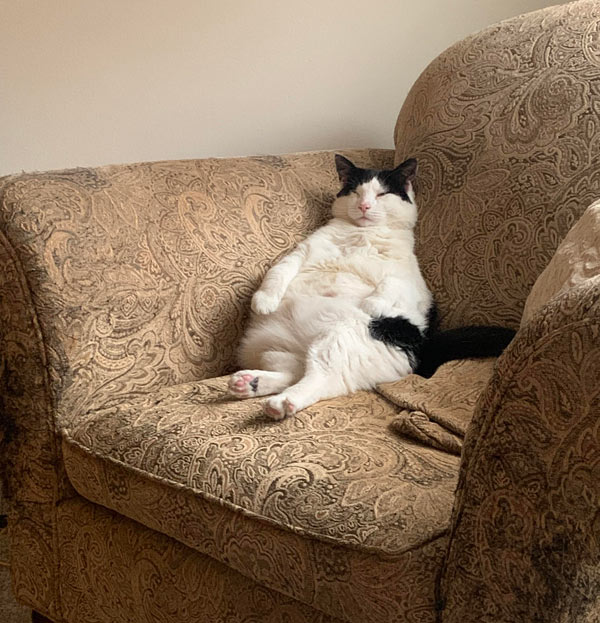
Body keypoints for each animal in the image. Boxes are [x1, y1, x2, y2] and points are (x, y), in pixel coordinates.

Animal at [227, 155, 512, 420]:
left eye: (382, 193)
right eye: (355, 191)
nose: (364, 205)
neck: (362, 235)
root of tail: (421, 347)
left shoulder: (415, 283)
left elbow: (393, 283)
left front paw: (371, 303)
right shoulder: (301, 252)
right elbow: (279, 270)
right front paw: (264, 301)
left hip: (339, 340)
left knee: (321, 378)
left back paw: (282, 402)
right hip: (275, 351)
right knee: (294, 370)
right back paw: (249, 383)